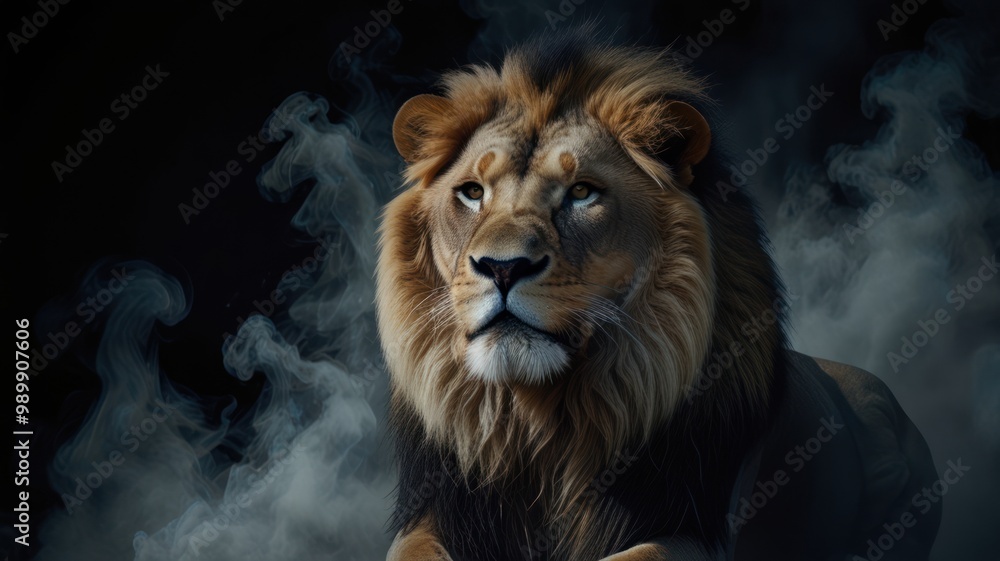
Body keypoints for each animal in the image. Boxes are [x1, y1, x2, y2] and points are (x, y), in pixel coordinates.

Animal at [375, 31, 941, 561]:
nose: (502, 267)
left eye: (582, 192)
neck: (543, 425)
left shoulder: (697, 530)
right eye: (472, 192)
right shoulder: (431, 519)